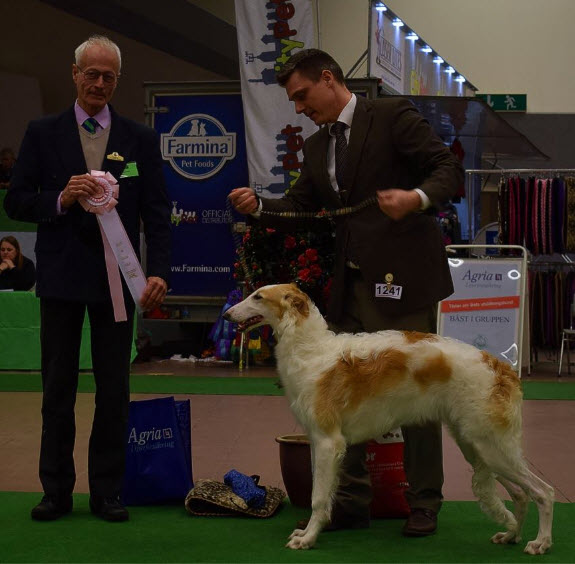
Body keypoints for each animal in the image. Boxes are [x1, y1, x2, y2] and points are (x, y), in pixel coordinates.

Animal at [224, 284, 552, 552]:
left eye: (258, 296)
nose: (226, 315)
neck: (311, 351)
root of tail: (501, 368)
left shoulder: (329, 441)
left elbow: (317, 498)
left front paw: (307, 539)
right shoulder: (317, 443)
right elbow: (323, 493)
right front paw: (312, 531)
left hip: (489, 445)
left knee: (542, 491)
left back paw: (540, 543)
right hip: (477, 446)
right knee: (521, 495)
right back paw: (510, 535)